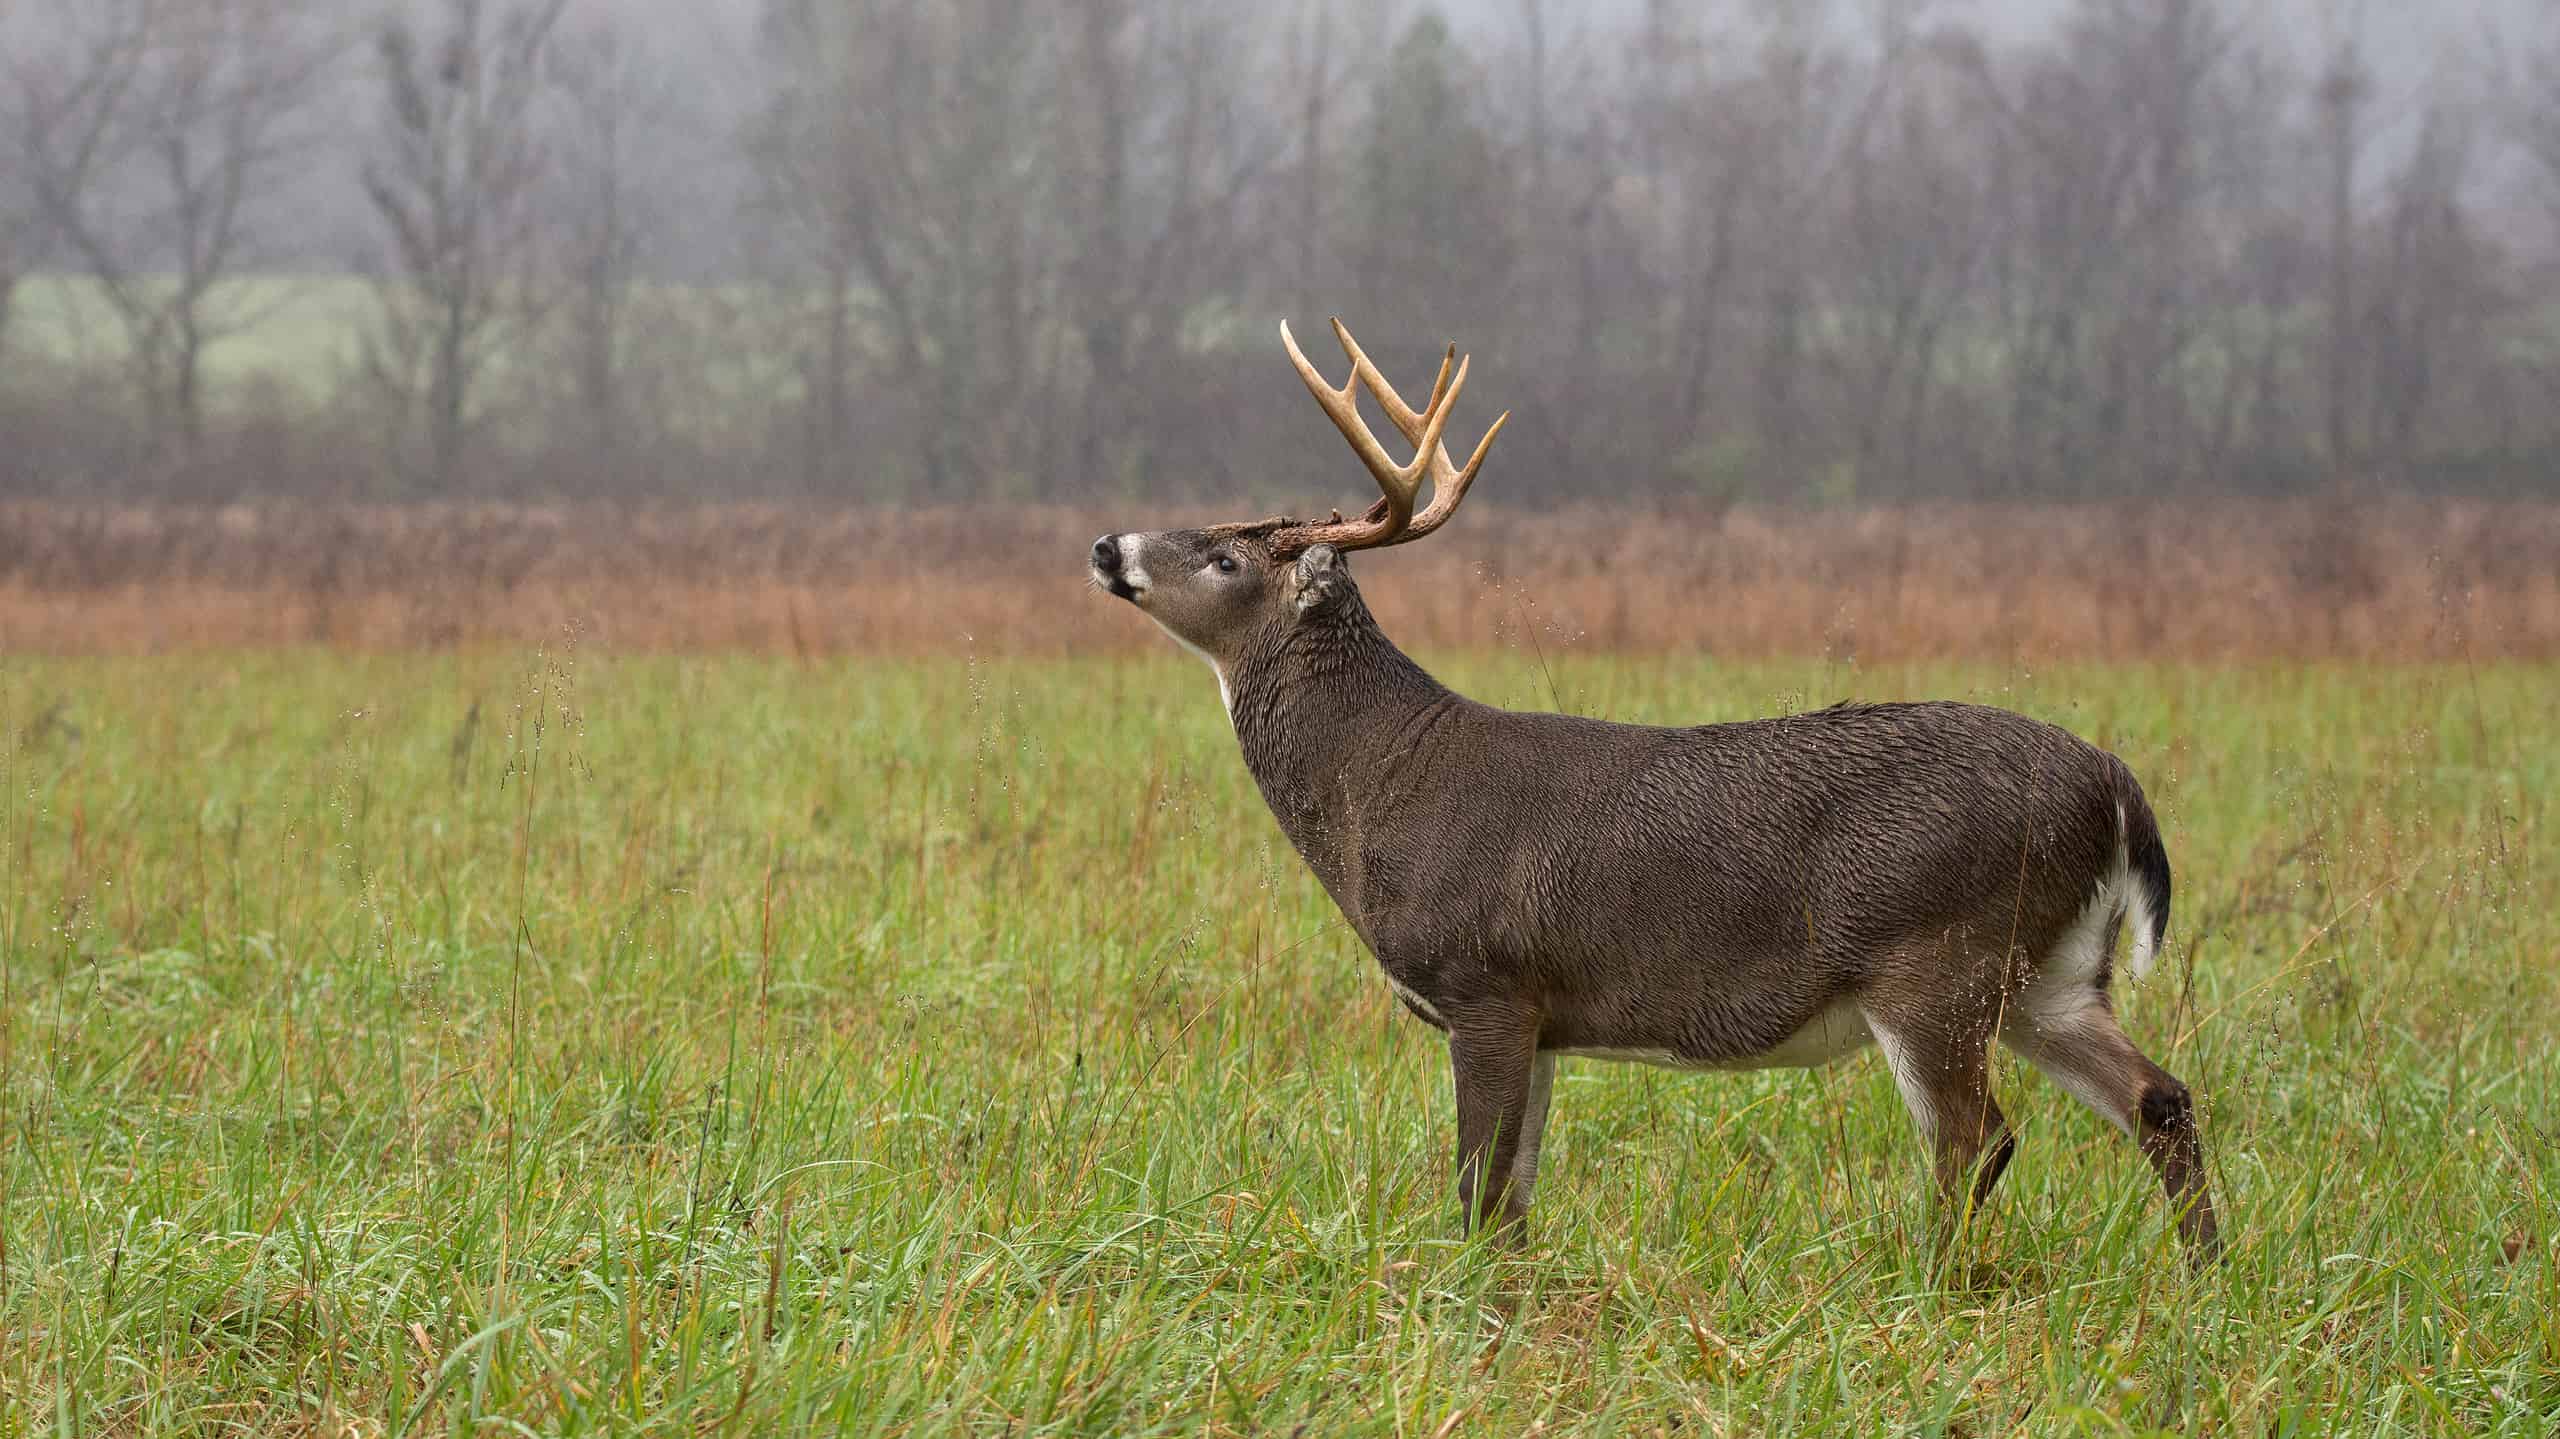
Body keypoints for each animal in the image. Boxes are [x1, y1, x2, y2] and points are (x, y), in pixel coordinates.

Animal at [1087, 319, 2221, 1263]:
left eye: (1225, 556)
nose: (1106, 543)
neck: (1382, 782)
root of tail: (2116, 786)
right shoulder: (1538, 1012)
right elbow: (1513, 1196)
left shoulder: (1484, 977)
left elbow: (1478, 1189)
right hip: (2050, 971)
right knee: (2159, 1097)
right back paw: (2200, 1276)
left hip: (1938, 954)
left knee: (1978, 1139)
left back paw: (1932, 1284)